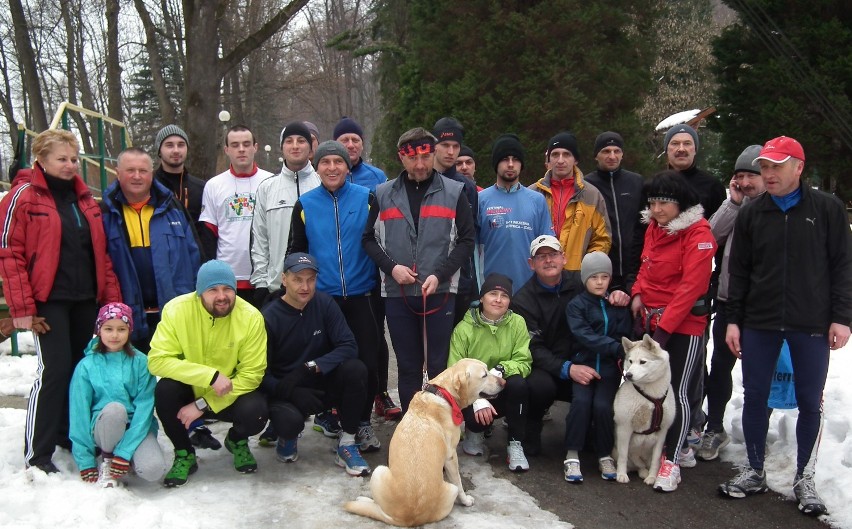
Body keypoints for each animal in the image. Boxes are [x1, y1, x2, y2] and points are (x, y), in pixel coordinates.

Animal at [616, 334, 676, 482]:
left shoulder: (662, 432)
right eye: (630, 361)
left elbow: (655, 459)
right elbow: (623, 455)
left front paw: (653, 477)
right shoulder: (624, 427)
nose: (628, 375)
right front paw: (621, 474)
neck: (651, 395)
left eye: (642, 362)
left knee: (643, 465)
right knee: (635, 463)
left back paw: (646, 473)